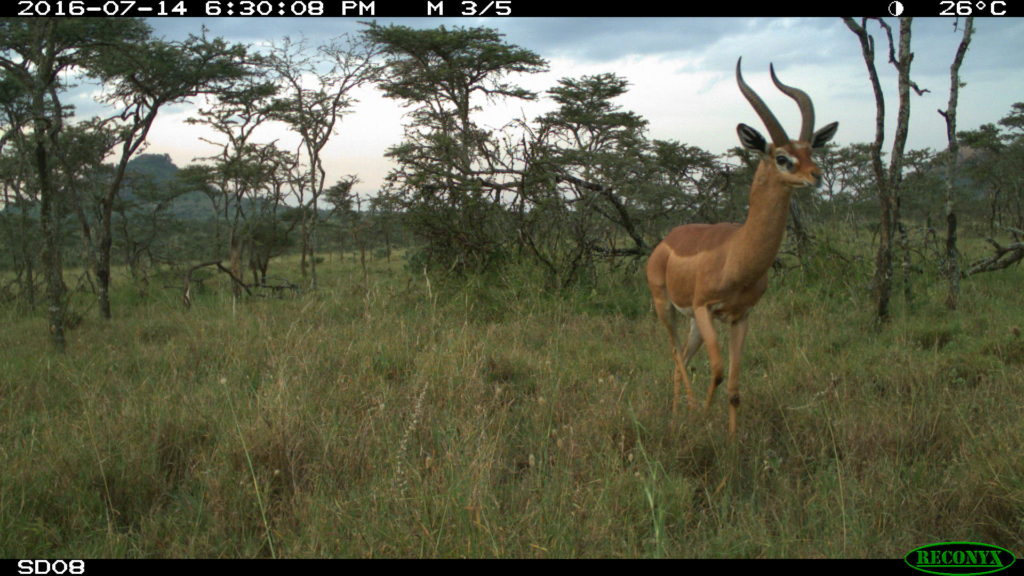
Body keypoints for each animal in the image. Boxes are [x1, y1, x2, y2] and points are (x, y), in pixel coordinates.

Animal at [647, 58, 839, 434]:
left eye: (810, 150)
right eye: (782, 157)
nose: (816, 175)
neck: (737, 255)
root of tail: (666, 242)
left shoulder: (741, 317)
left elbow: (734, 386)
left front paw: (733, 442)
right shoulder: (706, 308)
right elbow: (719, 371)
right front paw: (704, 418)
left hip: (692, 323)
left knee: (681, 361)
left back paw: (677, 415)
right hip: (667, 308)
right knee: (676, 356)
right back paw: (689, 411)